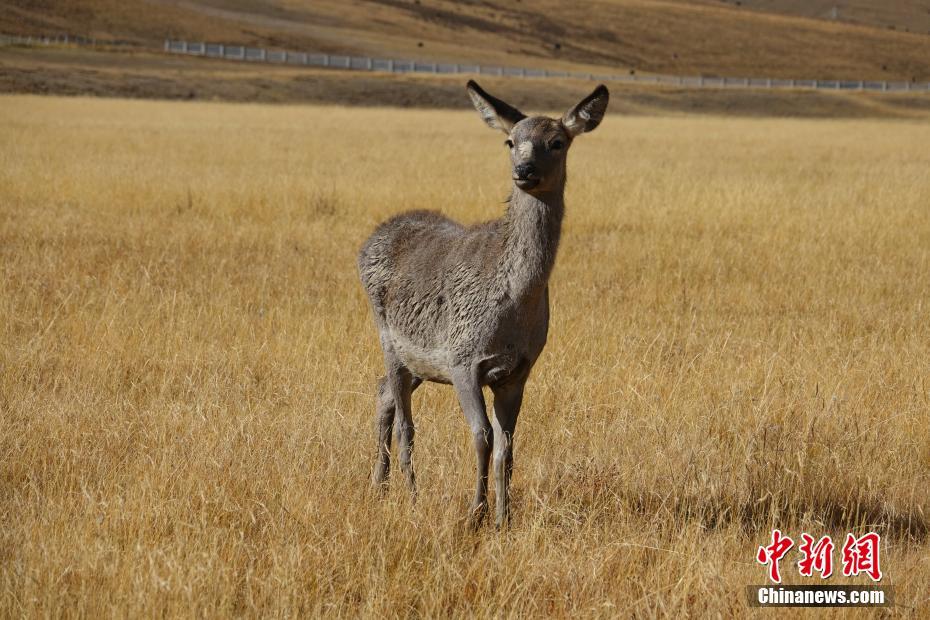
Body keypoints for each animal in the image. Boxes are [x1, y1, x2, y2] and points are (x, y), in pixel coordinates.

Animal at [358, 80, 608, 528]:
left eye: (557, 141)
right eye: (510, 140)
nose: (524, 170)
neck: (512, 307)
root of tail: (367, 242)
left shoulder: (518, 372)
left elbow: (507, 446)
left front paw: (503, 518)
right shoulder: (463, 358)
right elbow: (482, 436)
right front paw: (475, 514)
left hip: (417, 363)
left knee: (383, 393)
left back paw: (380, 486)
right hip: (388, 337)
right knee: (404, 420)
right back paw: (410, 494)